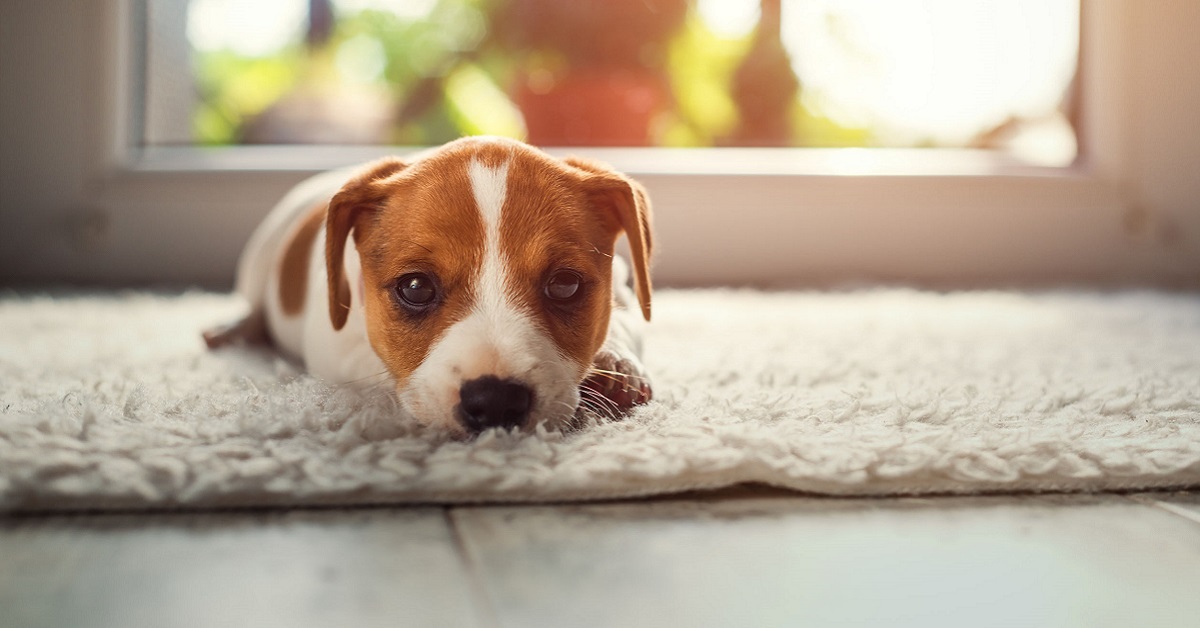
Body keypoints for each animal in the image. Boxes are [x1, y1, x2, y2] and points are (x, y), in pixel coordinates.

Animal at [208, 136, 657, 437]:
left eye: (565, 284)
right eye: (415, 287)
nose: (496, 401)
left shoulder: (622, 285)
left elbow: (626, 316)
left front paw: (617, 364)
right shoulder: (332, 343)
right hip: (258, 258)